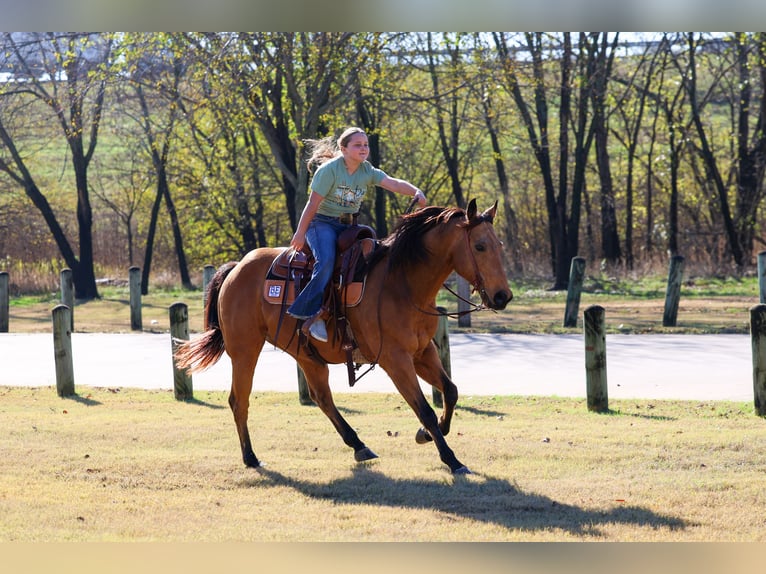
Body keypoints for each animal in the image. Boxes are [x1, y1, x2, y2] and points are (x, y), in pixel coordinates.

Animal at [174, 198, 512, 474]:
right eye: (479, 246)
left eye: (499, 245)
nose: (502, 296)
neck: (402, 283)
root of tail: (236, 267)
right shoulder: (395, 359)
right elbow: (425, 409)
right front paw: (451, 459)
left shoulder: (422, 352)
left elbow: (451, 391)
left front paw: (427, 435)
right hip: (245, 349)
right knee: (239, 400)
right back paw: (250, 457)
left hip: (305, 354)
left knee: (322, 398)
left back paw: (359, 445)